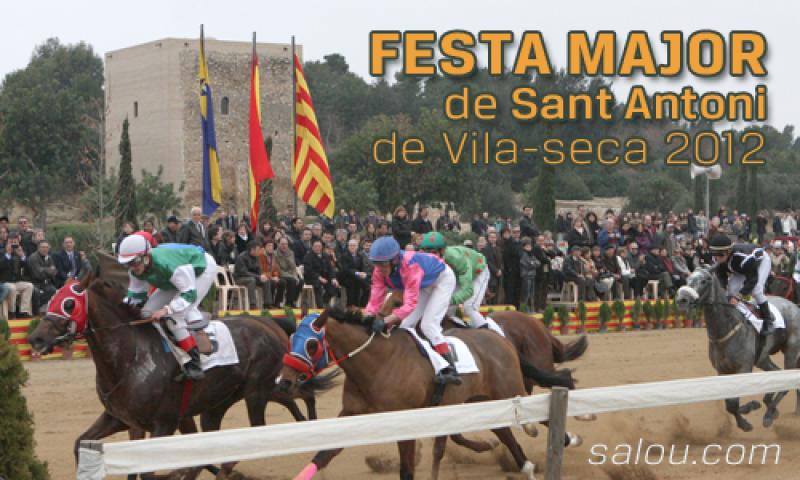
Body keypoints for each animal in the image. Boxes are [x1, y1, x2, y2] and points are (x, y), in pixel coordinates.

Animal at [28, 271, 334, 480]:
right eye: (51, 299)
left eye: (69, 304)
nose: (36, 338)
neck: (131, 357)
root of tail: (269, 324)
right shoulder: (120, 418)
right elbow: (82, 445)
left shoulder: (164, 422)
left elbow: (149, 470)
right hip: (228, 399)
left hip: (258, 390)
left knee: (269, 420)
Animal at [277, 307, 577, 480]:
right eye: (290, 340)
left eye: (312, 344)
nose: (283, 382)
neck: (377, 363)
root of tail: (500, 338)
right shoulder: (354, 414)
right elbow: (324, 454)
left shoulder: (405, 420)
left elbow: (408, 469)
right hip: (483, 401)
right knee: (505, 433)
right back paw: (526, 464)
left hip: (510, 389)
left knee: (539, 415)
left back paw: (568, 439)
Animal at [675, 268, 800, 431]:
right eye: (688, 278)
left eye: (704, 280)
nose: (682, 299)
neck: (725, 328)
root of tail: (795, 306)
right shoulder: (722, 371)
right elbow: (730, 404)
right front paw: (746, 418)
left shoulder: (744, 368)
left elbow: (734, 403)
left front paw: (749, 412)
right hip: (762, 358)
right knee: (777, 374)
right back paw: (770, 405)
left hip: (791, 351)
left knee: (786, 383)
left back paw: (769, 414)